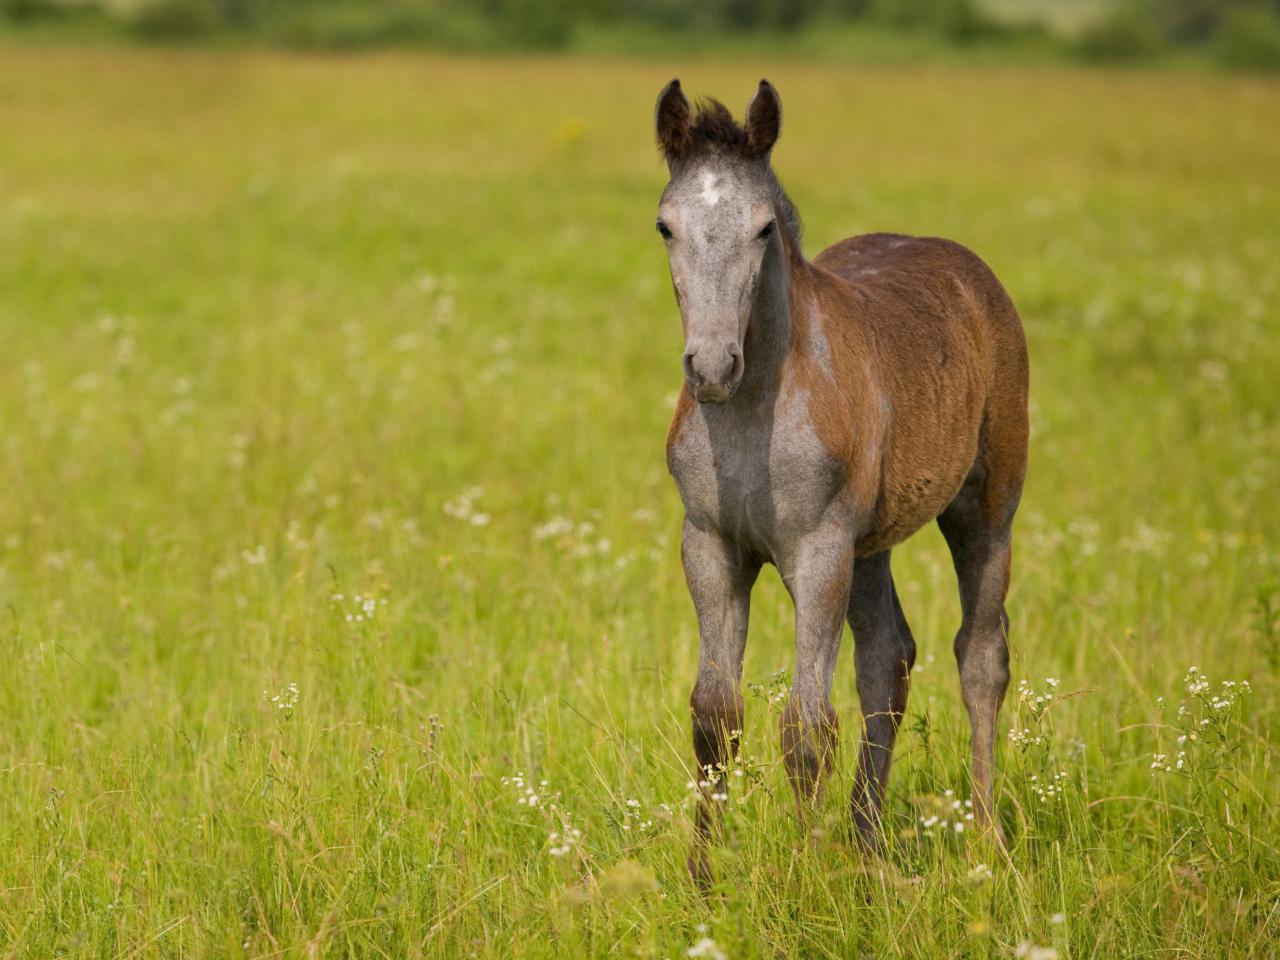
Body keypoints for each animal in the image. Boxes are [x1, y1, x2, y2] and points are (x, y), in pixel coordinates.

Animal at [655, 79, 1034, 885]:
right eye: (666, 226)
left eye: (764, 228)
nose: (711, 366)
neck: (754, 410)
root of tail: (971, 271)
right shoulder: (710, 545)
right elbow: (714, 715)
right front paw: (702, 880)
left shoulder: (818, 548)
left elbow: (805, 726)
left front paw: (803, 878)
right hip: (871, 545)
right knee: (887, 658)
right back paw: (864, 843)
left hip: (986, 507)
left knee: (982, 656)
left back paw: (985, 844)